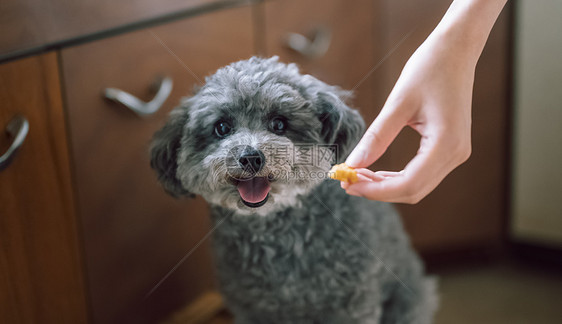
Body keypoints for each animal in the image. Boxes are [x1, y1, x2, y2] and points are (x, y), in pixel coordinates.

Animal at [150, 57, 438, 322]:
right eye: (221, 127)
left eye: (279, 124)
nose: (250, 157)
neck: (276, 232)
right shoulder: (250, 308)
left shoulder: (351, 305)